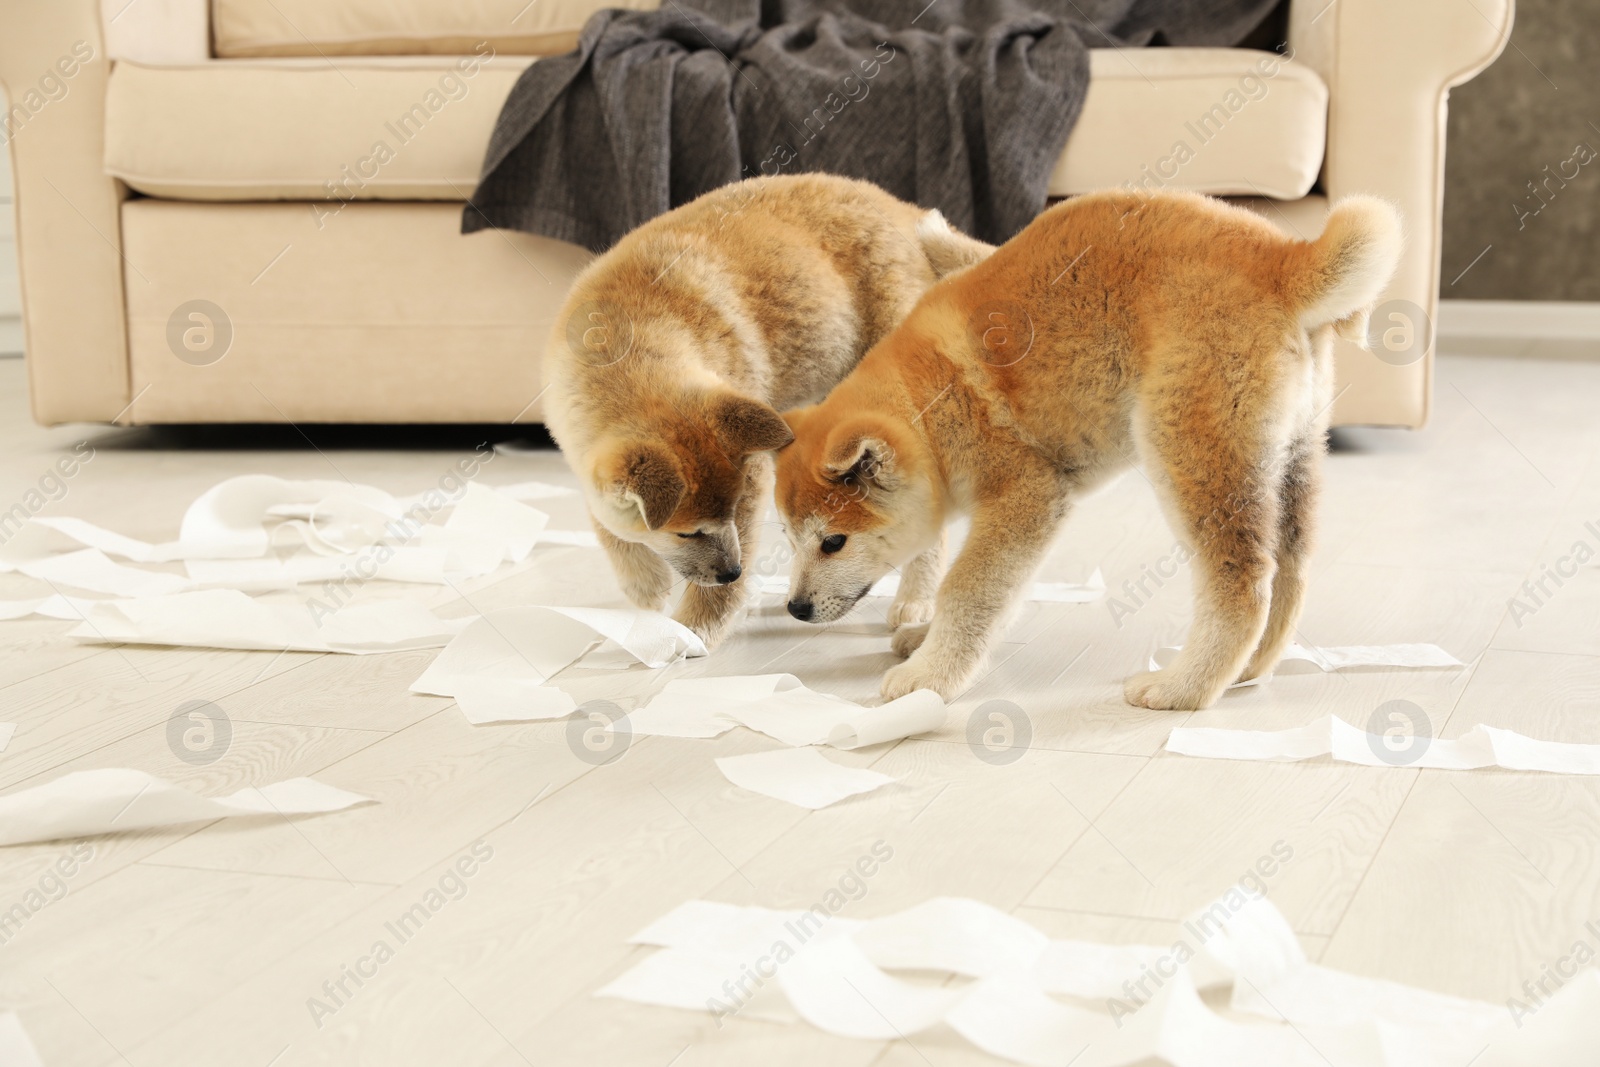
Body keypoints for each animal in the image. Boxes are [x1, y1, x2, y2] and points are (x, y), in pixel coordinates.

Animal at [540, 171, 985, 646]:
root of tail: (906, 212)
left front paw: (698, 627)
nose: (732, 572)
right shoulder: (578, 448)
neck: (625, 343)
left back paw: (915, 602)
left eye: (732, 512)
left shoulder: (749, 474)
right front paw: (644, 584)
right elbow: (608, 526)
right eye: (688, 532)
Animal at [774, 191, 1401, 710]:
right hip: (1290, 456)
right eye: (788, 538)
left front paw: (930, 677)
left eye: (833, 542)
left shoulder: (1027, 494)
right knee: (1291, 572)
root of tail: (1283, 258)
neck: (929, 402)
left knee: (1243, 584)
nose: (795, 608)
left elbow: (967, 589)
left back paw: (1183, 688)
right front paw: (926, 642)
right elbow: (996, 595)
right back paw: (1249, 672)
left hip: (1190, 450)